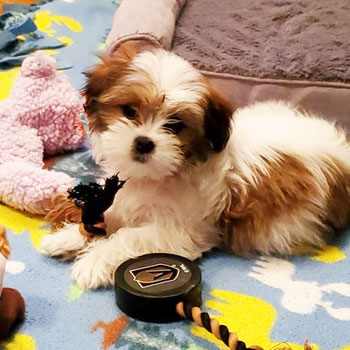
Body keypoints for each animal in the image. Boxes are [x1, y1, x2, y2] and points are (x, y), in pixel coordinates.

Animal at [42, 44, 350, 290]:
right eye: (129, 111)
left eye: (175, 125)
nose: (143, 142)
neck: (162, 174)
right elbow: (104, 214)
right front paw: (69, 237)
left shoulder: (182, 228)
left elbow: (132, 236)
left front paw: (95, 260)